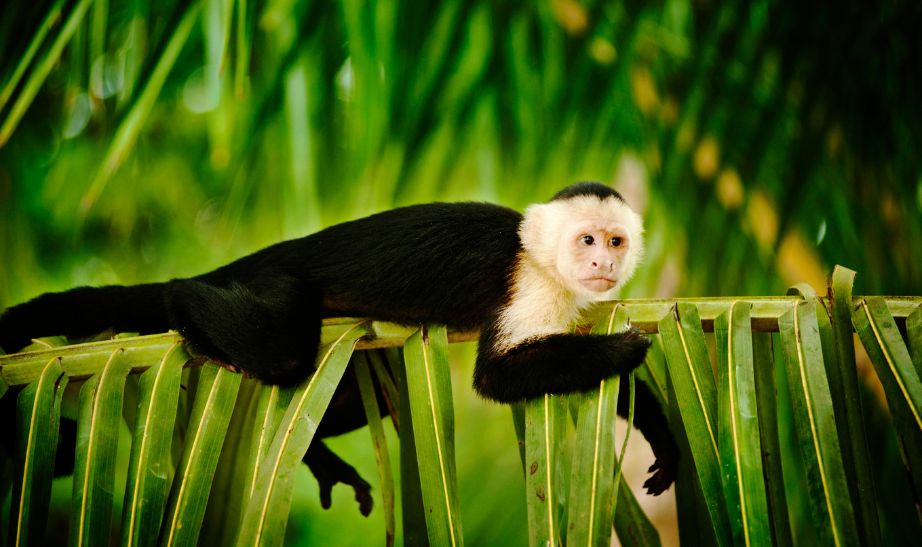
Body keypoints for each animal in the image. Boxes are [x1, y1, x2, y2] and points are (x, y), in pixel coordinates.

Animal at [0, 181, 678, 512]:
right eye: (586, 239)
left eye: (615, 241)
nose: (601, 262)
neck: (539, 257)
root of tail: (272, 255)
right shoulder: (532, 284)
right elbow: (498, 375)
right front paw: (627, 353)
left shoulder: (578, 301)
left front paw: (664, 437)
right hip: (279, 285)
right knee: (282, 354)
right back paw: (180, 300)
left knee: (347, 396)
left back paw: (319, 455)